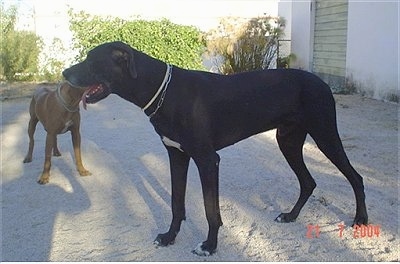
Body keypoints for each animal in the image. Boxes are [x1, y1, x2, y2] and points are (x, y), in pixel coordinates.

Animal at [63, 40, 368, 256]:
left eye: (92, 60)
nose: (64, 73)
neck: (165, 91)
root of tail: (322, 82)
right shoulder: (176, 155)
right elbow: (176, 203)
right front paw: (169, 237)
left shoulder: (207, 159)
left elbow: (211, 210)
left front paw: (209, 246)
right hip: (288, 141)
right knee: (308, 181)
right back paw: (291, 216)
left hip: (325, 135)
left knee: (355, 177)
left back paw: (361, 219)